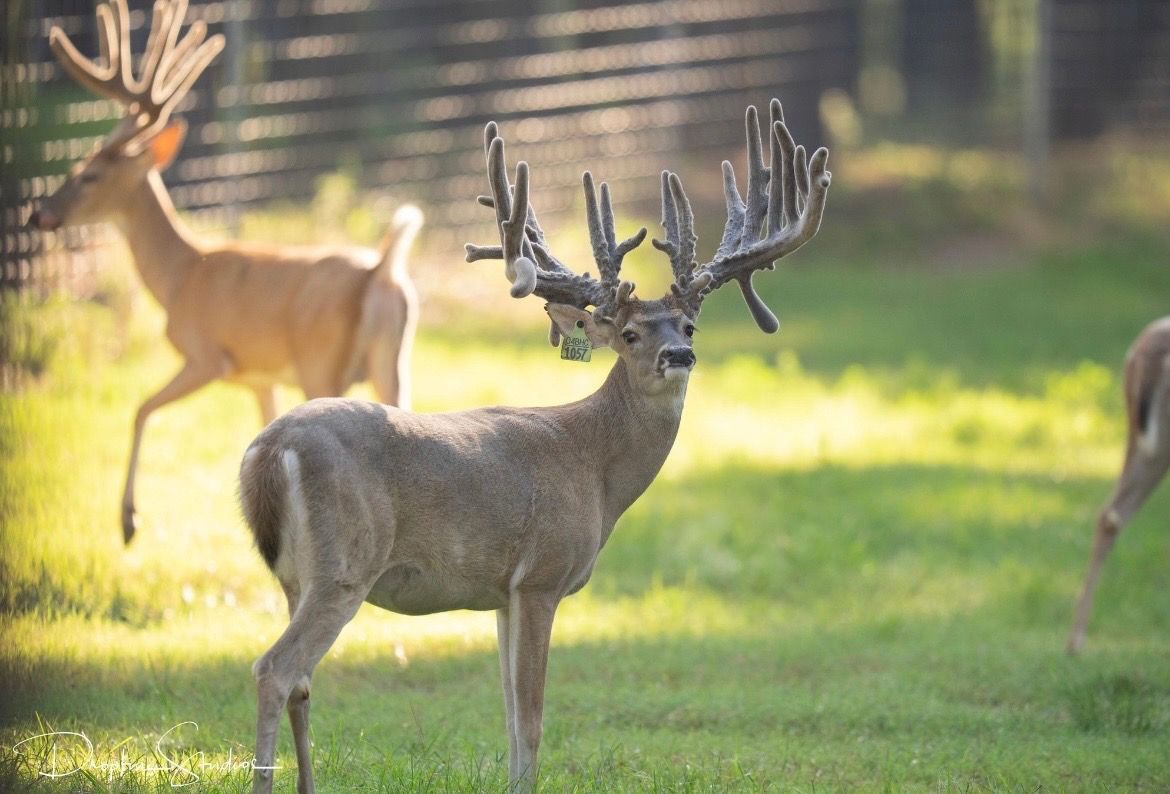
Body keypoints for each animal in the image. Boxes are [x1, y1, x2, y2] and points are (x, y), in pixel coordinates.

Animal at [26, 0, 422, 545]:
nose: (39, 215)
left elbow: (140, 408)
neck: (181, 275)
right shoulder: (259, 378)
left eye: (88, 175)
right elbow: (262, 428)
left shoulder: (208, 355)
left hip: (322, 362)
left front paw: (128, 520)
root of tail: (380, 271)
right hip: (390, 361)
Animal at [238, 98, 830, 793]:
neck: (595, 468)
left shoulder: (499, 593)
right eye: (629, 334)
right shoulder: (542, 574)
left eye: (688, 325)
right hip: (345, 563)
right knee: (275, 668)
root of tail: (268, 449)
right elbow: (531, 719)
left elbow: (507, 714)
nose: (678, 356)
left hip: (295, 575)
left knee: (301, 680)